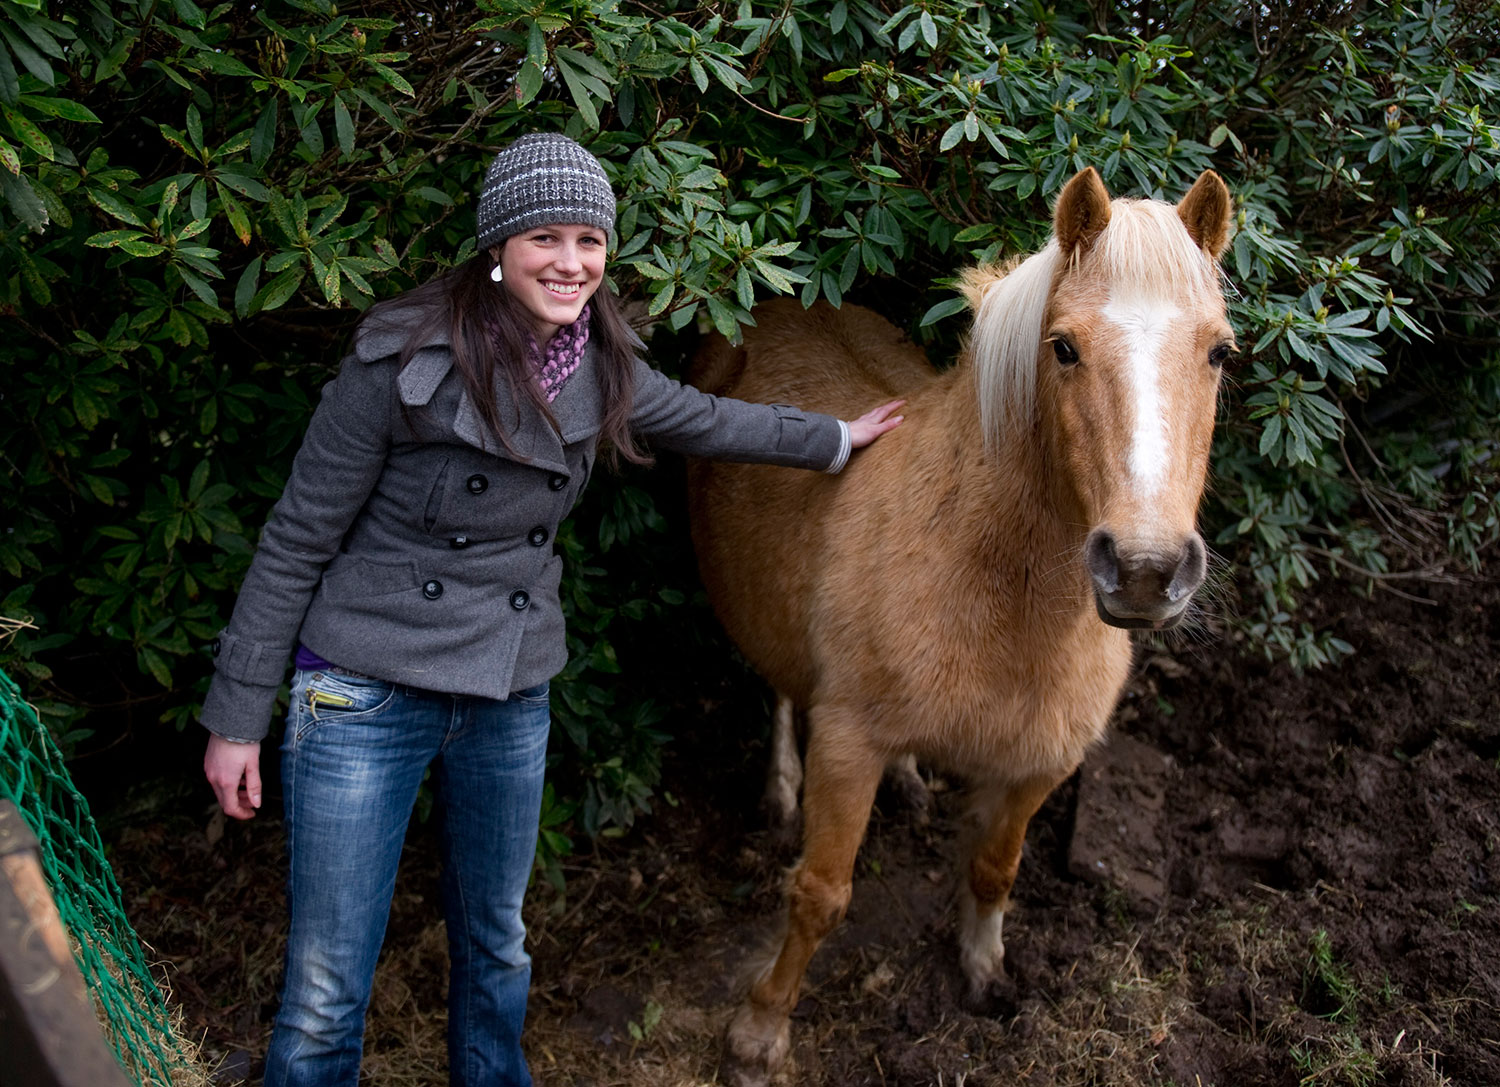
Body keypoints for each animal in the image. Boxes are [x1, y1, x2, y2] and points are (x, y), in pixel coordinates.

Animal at [687, 165, 1230, 1079]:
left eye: (1220, 351)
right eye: (1064, 347)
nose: (1146, 567)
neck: (993, 593)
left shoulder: (1041, 761)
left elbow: (994, 869)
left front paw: (984, 973)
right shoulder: (849, 742)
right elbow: (820, 894)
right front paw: (759, 1031)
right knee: (783, 689)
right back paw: (781, 787)